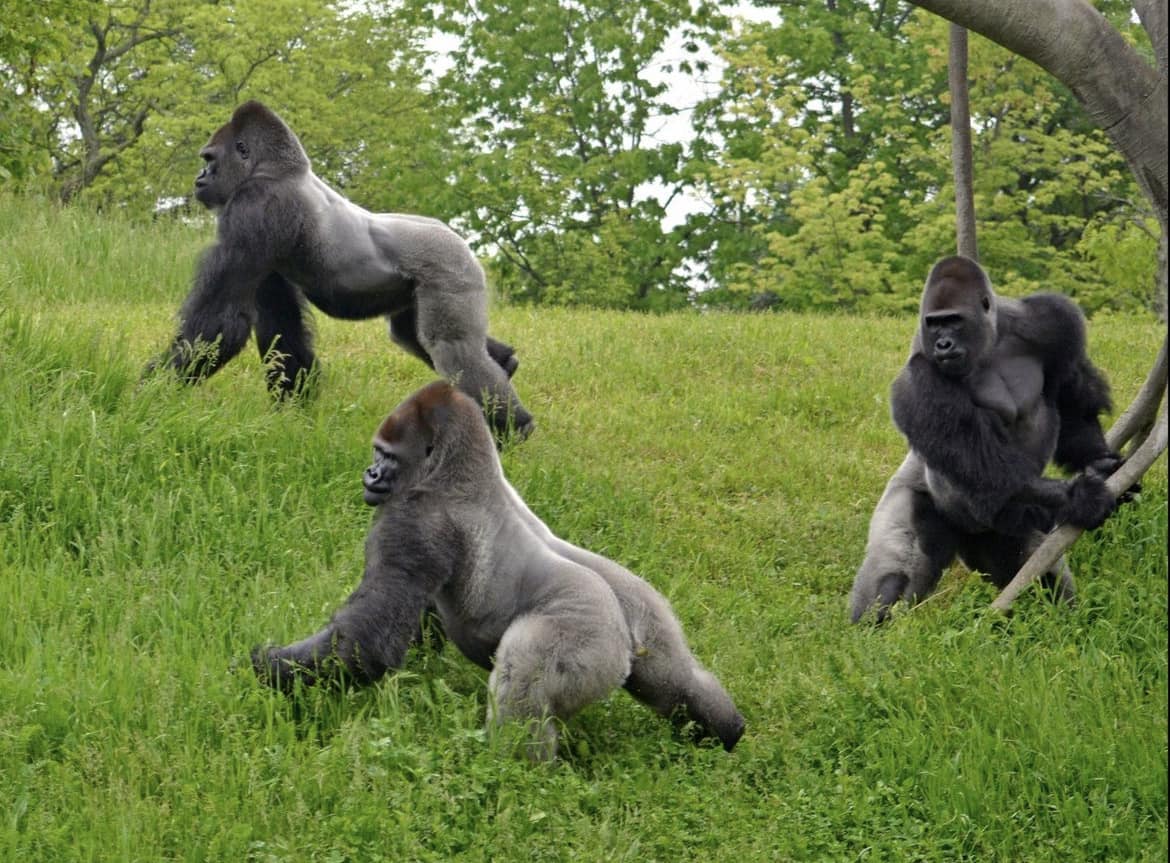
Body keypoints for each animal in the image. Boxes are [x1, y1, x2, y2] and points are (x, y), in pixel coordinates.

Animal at [148, 100, 533, 437]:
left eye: (209, 158)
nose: (200, 177)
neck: (274, 167)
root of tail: (460, 241)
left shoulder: (255, 207)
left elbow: (222, 320)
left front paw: (154, 393)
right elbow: (280, 325)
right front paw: (292, 413)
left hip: (449, 266)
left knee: (454, 349)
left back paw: (514, 429)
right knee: (415, 335)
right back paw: (505, 366)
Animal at [251, 378, 744, 757]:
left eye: (386, 456)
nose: (369, 475)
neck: (463, 468)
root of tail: (621, 641)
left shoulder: (412, 517)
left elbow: (369, 641)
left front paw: (267, 667)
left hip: (583, 637)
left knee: (522, 672)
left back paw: (509, 772)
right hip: (643, 606)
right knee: (675, 679)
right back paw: (724, 732)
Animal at [851, 253, 1132, 617]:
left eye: (953, 321)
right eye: (934, 324)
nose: (943, 344)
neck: (989, 343)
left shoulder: (1052, 322)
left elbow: (1071, 401)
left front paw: (1100, 463)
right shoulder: (918, 378)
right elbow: (980, 466)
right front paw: (1078, 496)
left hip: (998, 538)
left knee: (1038, 580)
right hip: (914, 500)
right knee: (892, 579)